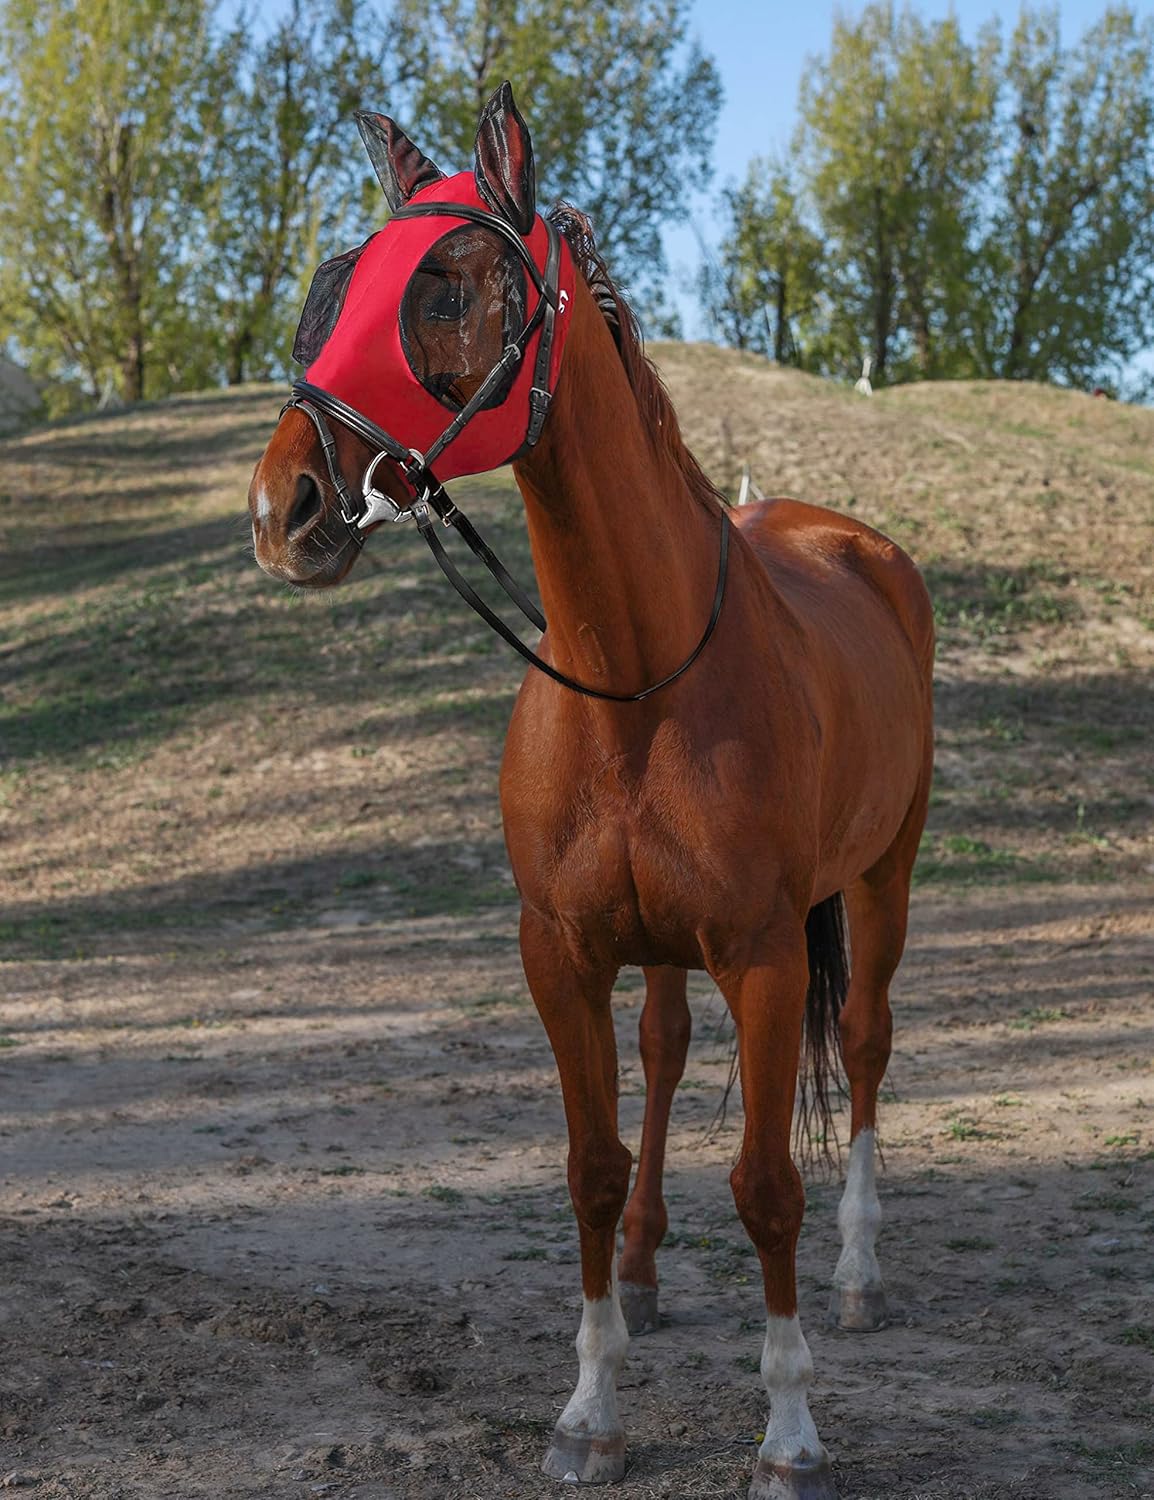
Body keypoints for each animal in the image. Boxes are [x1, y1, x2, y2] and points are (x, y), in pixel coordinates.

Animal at [247, 82, 934, 1500]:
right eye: (337, 284)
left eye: (447, 284)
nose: (286, 504)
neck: (637, 675)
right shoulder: (559, 953)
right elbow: (587, 1168)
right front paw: (588, 1408)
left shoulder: (765, 955)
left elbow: (767, 1185)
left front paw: (789, 1432)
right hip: (663, 946)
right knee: (665, 1053)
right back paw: (648, 1269)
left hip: (881, 878)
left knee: (863, 1044)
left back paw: (854, 1275)